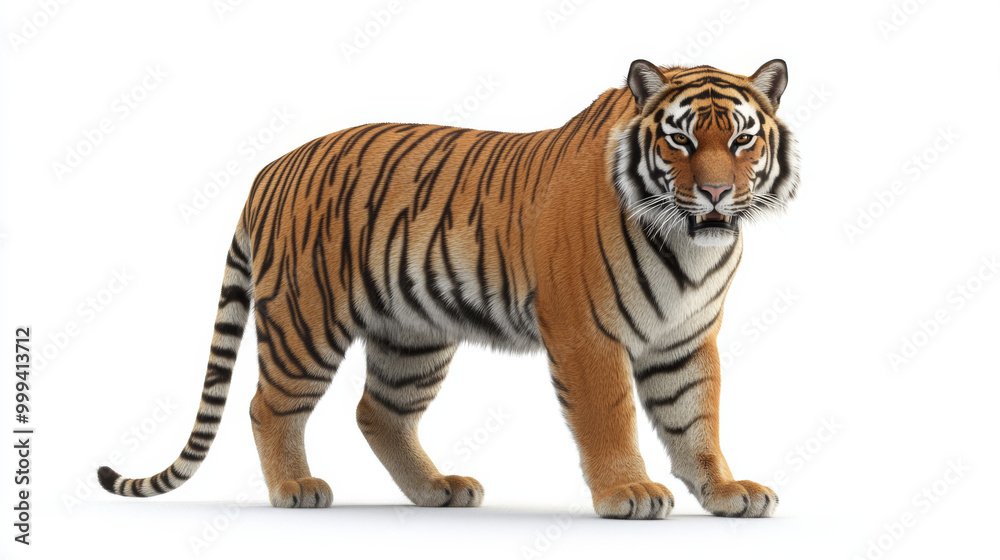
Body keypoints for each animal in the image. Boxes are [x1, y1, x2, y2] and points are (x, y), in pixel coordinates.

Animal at [97, 59, 800, 519]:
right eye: (680, 138)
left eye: (742, 138)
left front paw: (726, 492)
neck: (690, 248)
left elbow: (696, 420)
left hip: (412, 336)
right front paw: (627, 493)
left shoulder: (685, 339)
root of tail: (269, 168)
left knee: (377, 412)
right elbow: (612, 418)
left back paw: (437, 489)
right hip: (305, 322)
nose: (716, 192)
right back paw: (295, 490)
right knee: (267, 405)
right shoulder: (587, 336)